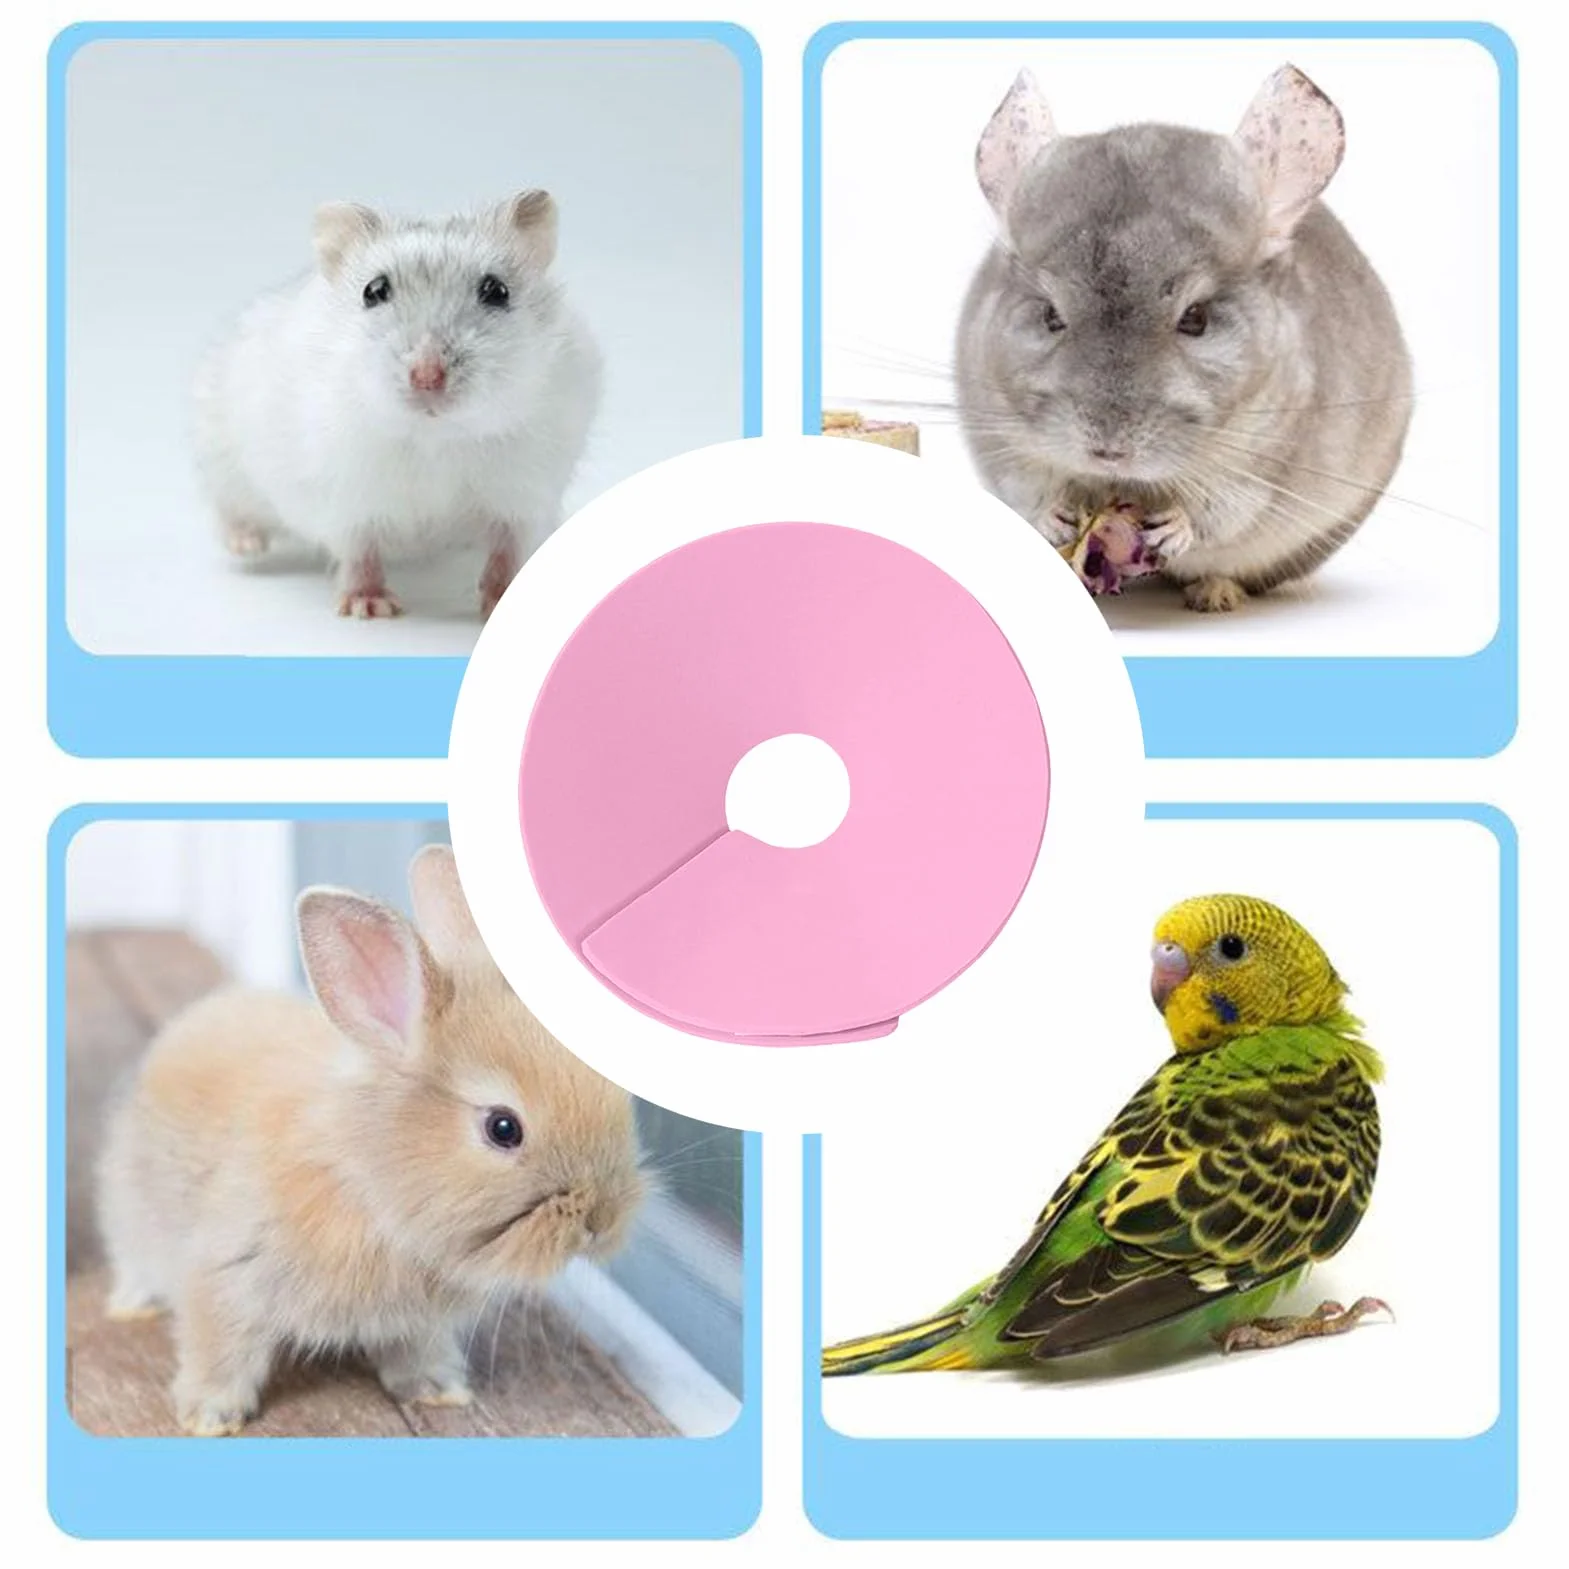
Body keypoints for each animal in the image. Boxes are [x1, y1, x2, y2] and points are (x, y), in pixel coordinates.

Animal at [95, 845, 644, 1436]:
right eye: (503, 1128)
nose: (602, 1221)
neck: (368, 1184)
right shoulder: (225, 1278)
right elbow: (218, 1349)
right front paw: (210, 1417)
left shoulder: (417, 1326)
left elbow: (415, 1356)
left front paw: (440, 1393)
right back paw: (132, 1306)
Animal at [192, 192, 601, 619]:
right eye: (374, 291)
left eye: (497, 291)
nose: (427, 377)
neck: (436, 436)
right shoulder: (346, 499)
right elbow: (360, 552)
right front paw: (370, 607)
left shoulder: (523, 496)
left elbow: (507, 551)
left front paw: (502, 599)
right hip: (221, 457)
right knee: (230, 510)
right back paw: (248, 546)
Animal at [955, 64, 1412, 611]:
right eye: (1050, 316)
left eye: (1196, 319)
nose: (1108, 451)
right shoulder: (998, 435)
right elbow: (1026, 484)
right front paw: (1055, 517)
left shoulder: (1264, 462)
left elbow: (1220, 510)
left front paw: (1173, 528)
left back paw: (1213, 594)